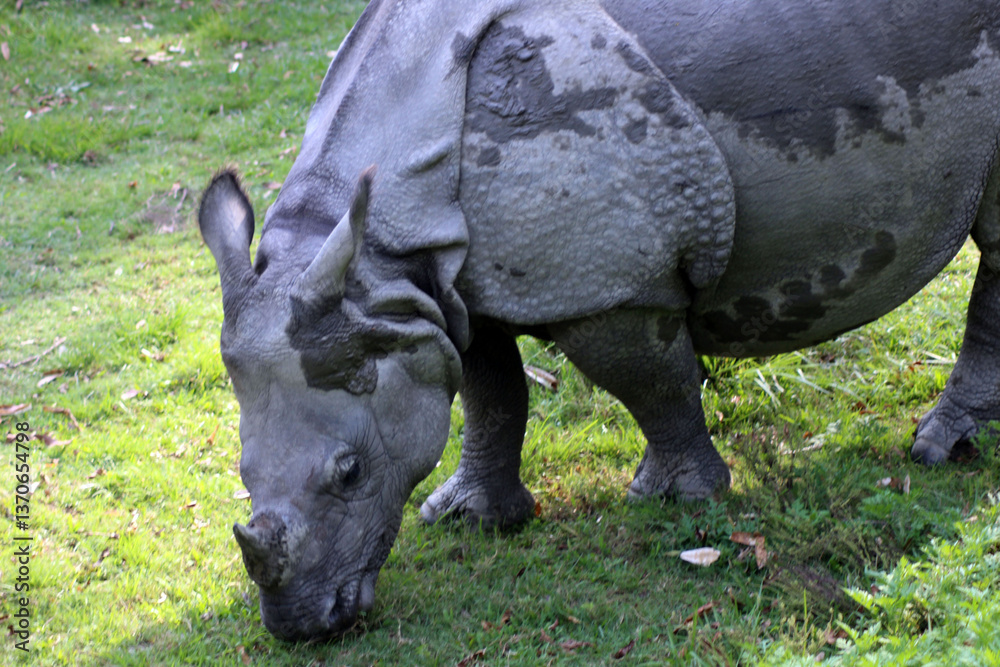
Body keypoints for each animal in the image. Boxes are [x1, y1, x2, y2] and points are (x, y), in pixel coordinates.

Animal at [198, 0, 1000, 641]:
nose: (301, 628)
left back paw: (942, 450)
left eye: (350, 472)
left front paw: (677, 500)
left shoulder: (611, 280)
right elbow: (491, 391)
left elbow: (649, 383)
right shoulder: (442, 293)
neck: (377, 253)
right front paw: (471, 518)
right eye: (240, 474)